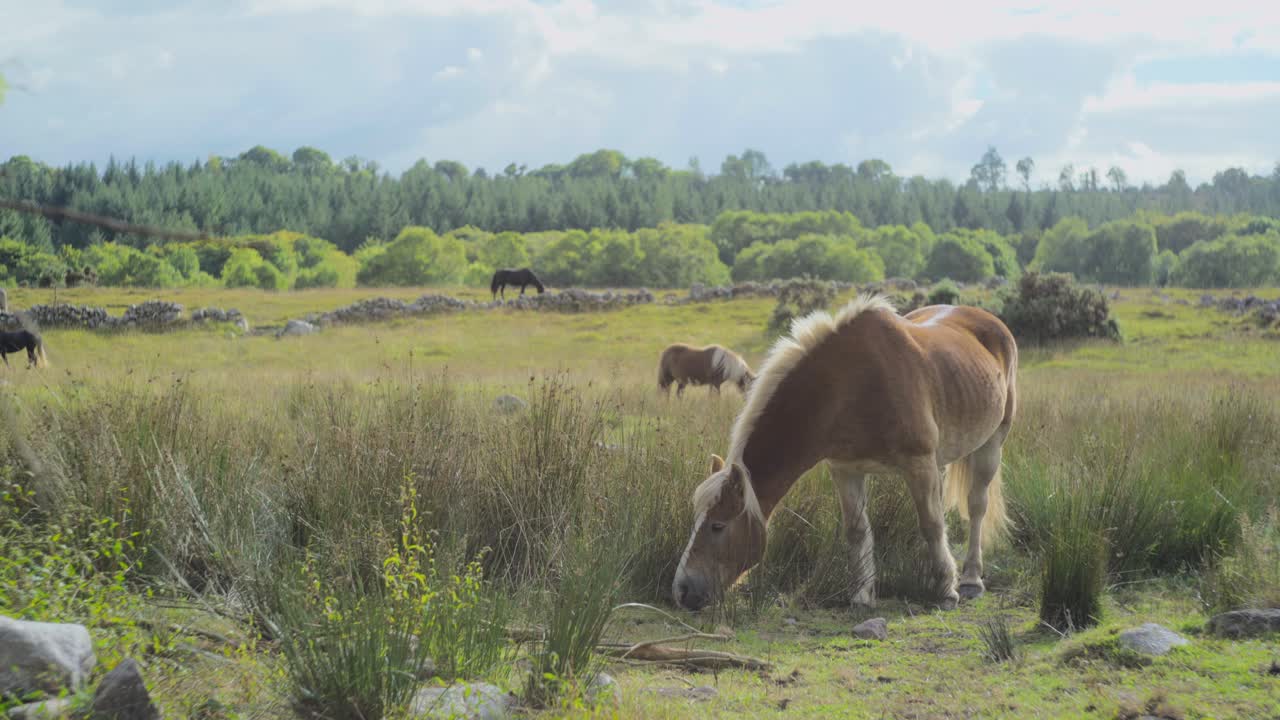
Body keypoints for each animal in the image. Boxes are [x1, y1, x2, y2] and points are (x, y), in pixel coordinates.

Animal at [672, 294, 1016, 612]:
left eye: (718, 525)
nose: (682, 589)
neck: (850, 385)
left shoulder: (918, 464)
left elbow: (931, 525)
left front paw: (946, 589)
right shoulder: (845, 469)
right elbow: (857, 530)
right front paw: (862, 596)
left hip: (991, 443)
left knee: (976, 506)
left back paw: (970, 579)